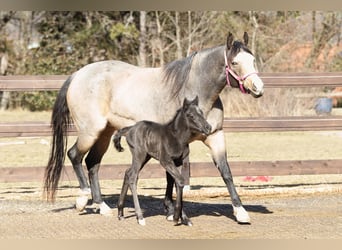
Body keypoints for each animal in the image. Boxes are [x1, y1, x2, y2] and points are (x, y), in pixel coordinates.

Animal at [113, 96, 211, 226]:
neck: (177, 138)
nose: (208, 127)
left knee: (128, 173)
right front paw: (176, 217)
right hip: (139, 155)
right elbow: (180, 180)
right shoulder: (165, 161)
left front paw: (184, 218)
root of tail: (130, 129)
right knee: (133, 176)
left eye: (201, 113)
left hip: (145, 157)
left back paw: (120, 213)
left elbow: (176, 182)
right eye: (190, 115)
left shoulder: (178, 162)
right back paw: (140, 217)